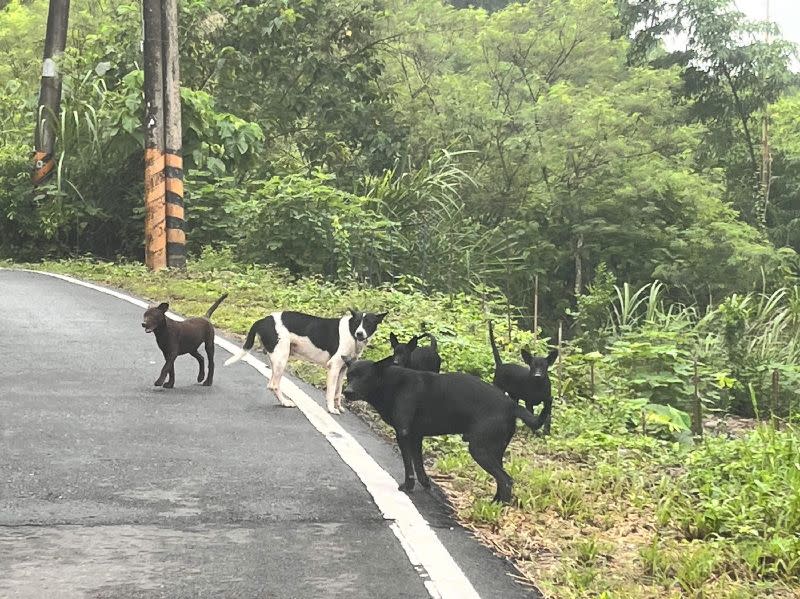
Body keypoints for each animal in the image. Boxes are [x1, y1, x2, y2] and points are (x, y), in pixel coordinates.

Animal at [225, 310, 388, 412]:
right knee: (273, 385)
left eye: (368, 323)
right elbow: (330, 392)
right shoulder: (334, 367)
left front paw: (339, 407)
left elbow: (338, 392)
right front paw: (331, 409)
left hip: (276, 359)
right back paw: (285, 403)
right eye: (357, 322)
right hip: (281, 359)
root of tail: (262, 320)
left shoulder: (343, 370)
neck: (351, 332)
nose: (360, 334)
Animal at [340, 356, 548, 506]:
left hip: (479, 449)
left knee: (506, 480)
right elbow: (419, 465)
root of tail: (511, 405)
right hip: (495, 450)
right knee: (501, 479)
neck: (390, 382)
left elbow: (408, 466)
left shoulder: (403, 433)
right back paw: (494, 503)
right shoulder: (416, 436)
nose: (347, 392)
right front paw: (425, 484)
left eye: (365, 377)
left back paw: (497, 507)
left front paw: (407, 486)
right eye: (349, 375)